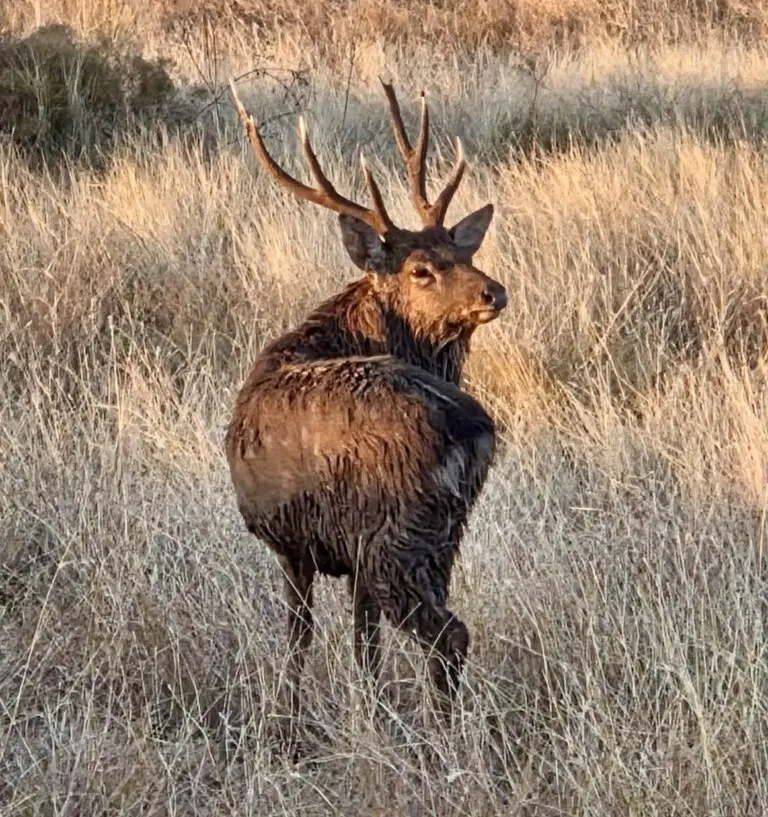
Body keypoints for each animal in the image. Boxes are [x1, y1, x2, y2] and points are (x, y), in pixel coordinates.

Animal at [225, 78, 507, 734]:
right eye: (423, 268)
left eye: (460, 252)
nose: (494, 291)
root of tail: (469, 431)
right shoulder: (340, 551)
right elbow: (362, 644)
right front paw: (370, 711)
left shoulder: (292, 540)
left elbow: (299, 638)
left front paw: (289, 724)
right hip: (442, 536)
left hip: (395, 535)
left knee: (449, 635)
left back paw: (443, 738)